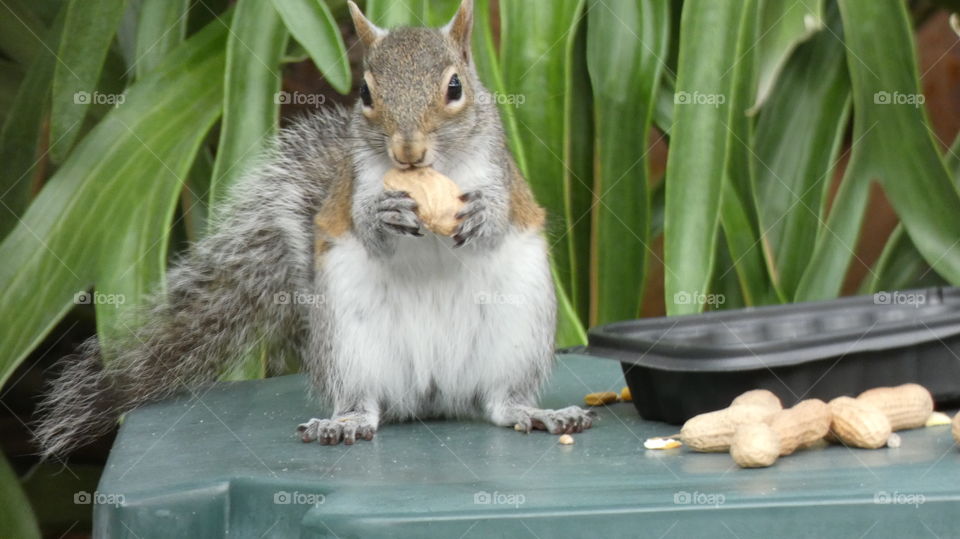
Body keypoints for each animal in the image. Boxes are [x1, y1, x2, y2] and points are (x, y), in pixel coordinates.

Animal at [35, 0, 594, 455]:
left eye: (455, 87)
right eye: (365, 92)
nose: (407, 151)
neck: (436, 172)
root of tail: (433, 394)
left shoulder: (505, 176)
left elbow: (503, 216)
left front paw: (483, 215)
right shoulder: (351, 187)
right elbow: (362, 225)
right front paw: (382, 216)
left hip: (515, 335)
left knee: (499, 403)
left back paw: (537, 412)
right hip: (349, 345)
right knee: (367, 402)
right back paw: (344, 423)